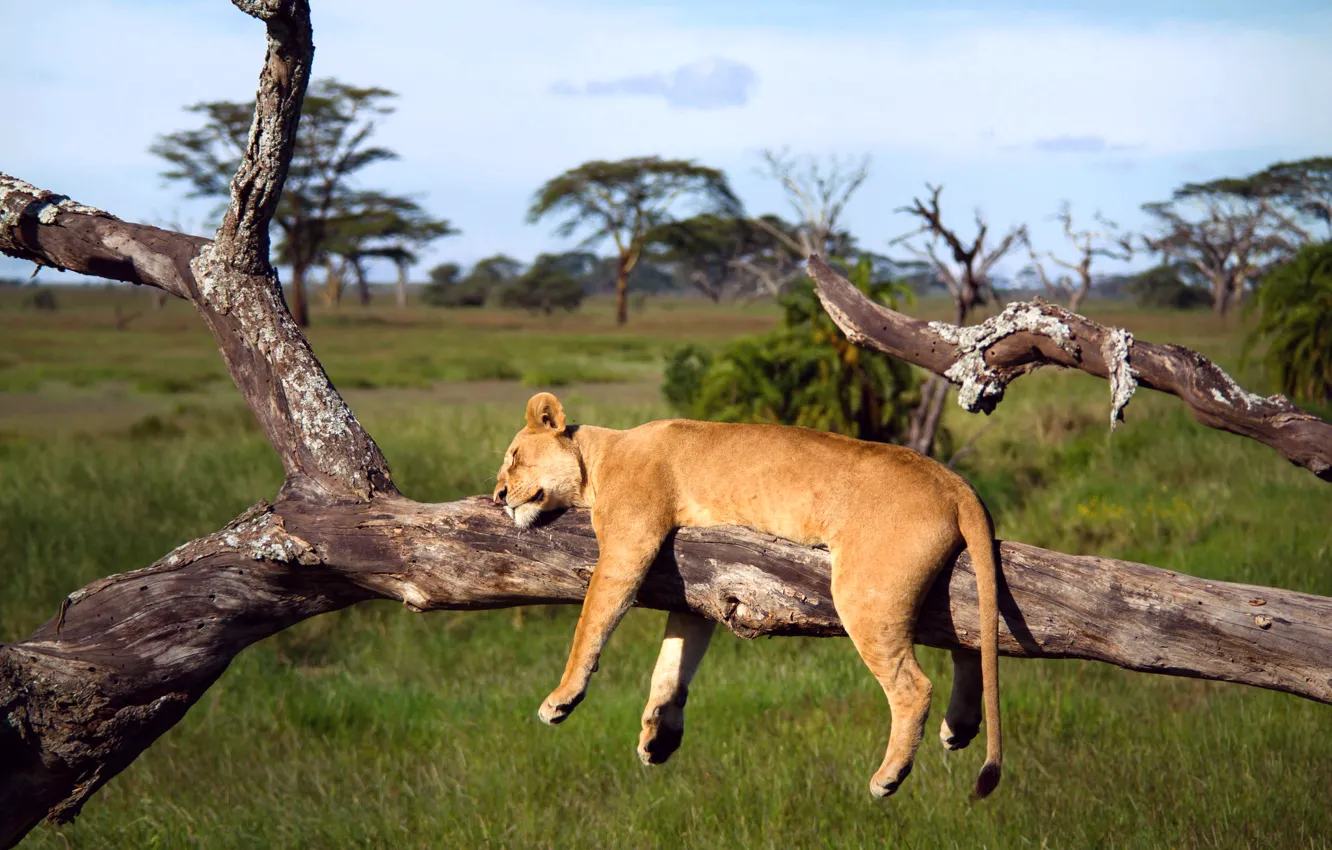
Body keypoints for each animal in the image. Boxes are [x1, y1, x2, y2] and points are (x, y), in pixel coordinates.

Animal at [493, 392, 1003, 799]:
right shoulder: (697, 589)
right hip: (945, 593)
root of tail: (955, 482)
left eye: (514, 456)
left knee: (914, 686)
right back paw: (959, 728)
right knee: (970, 645)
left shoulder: (628, 542)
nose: (498, 495)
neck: (600, 458)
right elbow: (674, 658)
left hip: (866, 591)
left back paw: (889, 776)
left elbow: (591, 622)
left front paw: (561, 698)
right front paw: (658, 735)